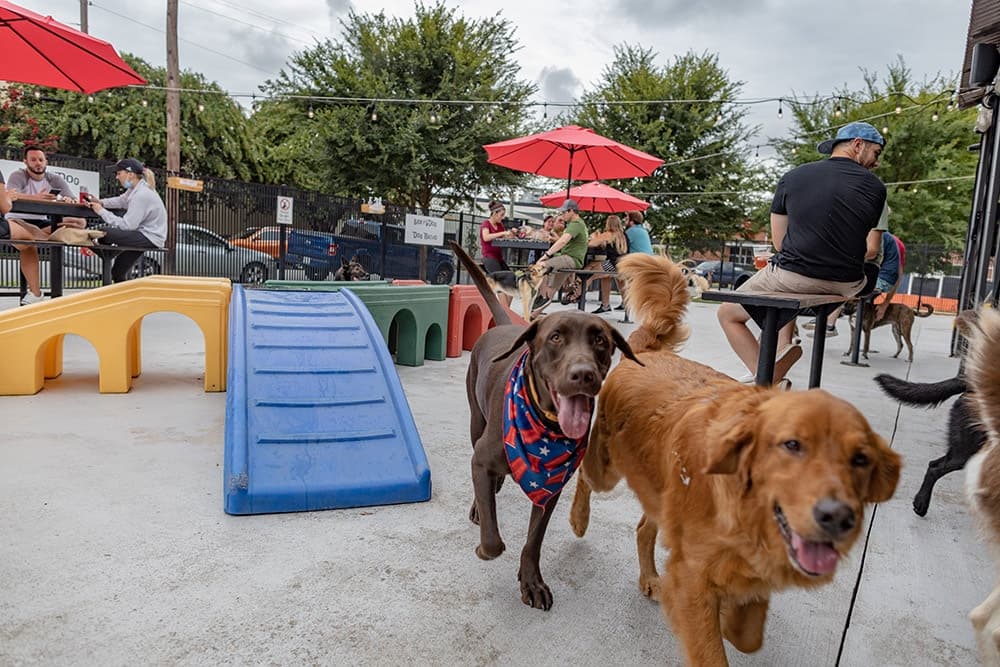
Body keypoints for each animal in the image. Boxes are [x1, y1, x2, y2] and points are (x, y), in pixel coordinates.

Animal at [568, 253, 904, 664]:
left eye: (860, 460)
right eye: (792, 445)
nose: (838, 518)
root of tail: (648, 353)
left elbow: (747, 634)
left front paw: (731, 615)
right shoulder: (692, 578)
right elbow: (712, 647)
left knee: (645, 528)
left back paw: (650, 578)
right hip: (607, 466)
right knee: (584, 474)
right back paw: (579, 519)